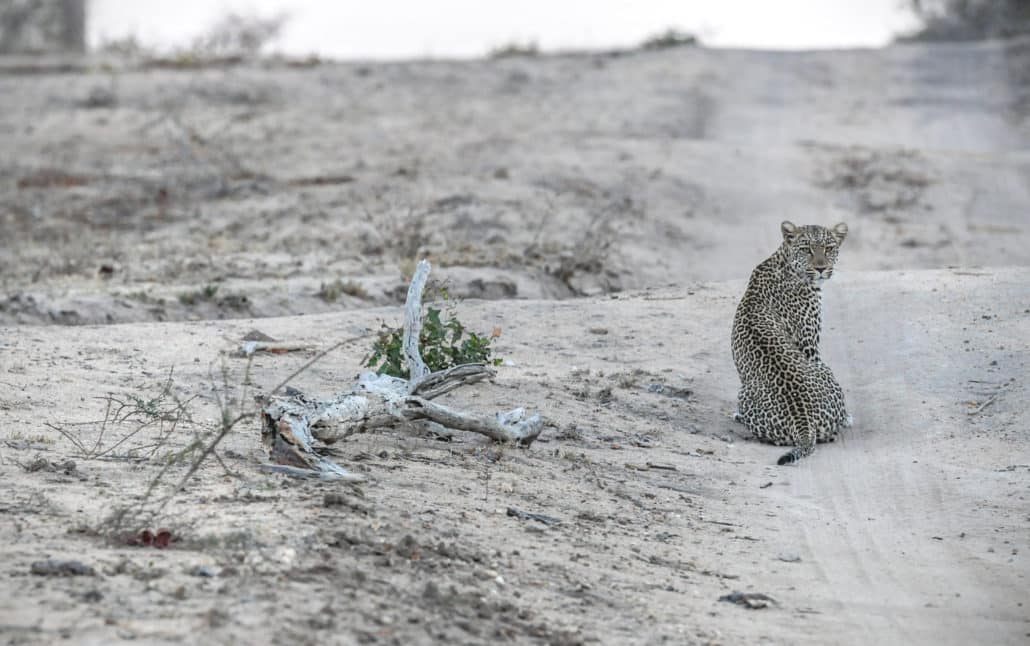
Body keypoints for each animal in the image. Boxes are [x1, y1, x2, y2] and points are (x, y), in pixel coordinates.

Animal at [733, 222, 852, 465]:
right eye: (806, 249)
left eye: (828, 248)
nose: (821, 268)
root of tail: (802, 418)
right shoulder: (810, 346)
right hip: (825, 370)